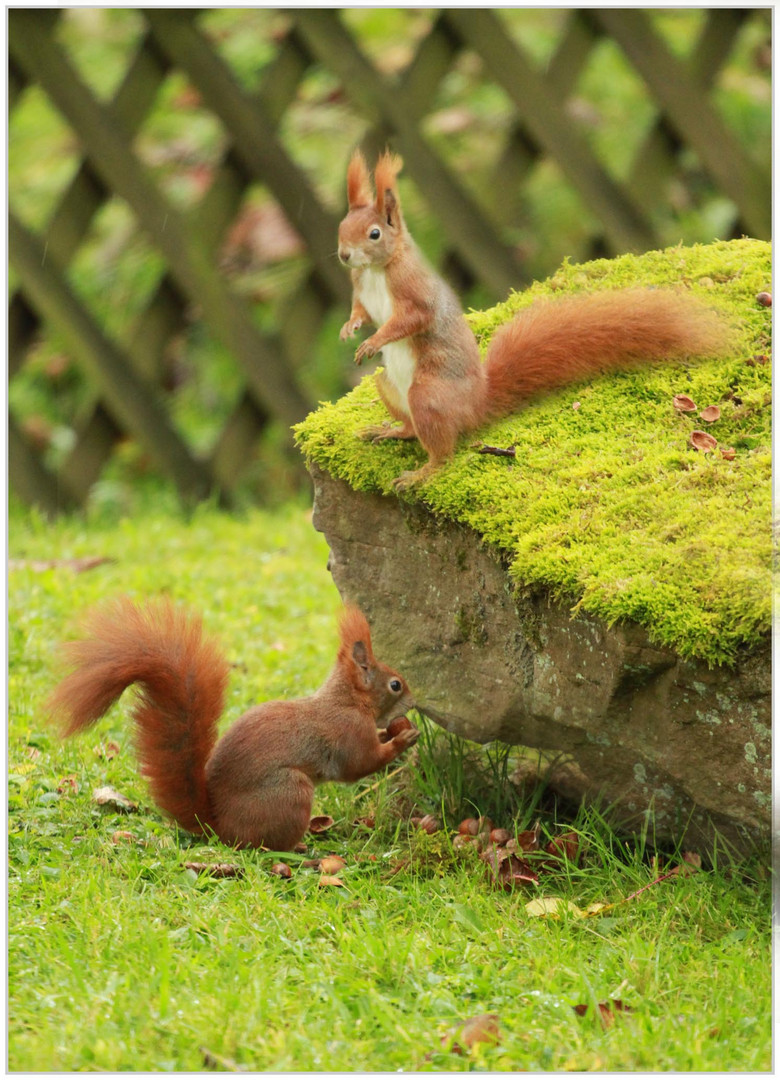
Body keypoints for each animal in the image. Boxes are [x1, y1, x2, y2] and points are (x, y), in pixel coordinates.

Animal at [48, 600, 417, 851]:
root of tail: (218, 826)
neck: (348, 700)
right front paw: (404, 739)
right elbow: (360, 764)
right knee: (262, 845)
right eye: (396, 685)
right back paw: (296, 849)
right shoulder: (348, 733)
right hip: (290, 791)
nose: (415, 702)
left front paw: (391, 731)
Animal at [337, 150, 725, 488]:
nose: (343, 255)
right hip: (387, 385)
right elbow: (361, 311)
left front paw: (373, 341)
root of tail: (475, 404)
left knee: (443, 452)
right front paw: (350, 328)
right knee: (411, 428)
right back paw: (389, 430)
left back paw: (422, 473)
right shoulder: (359, 290)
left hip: (427, 395)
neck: (376, 270)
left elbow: (411, 319)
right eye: (341, 226)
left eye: (374, 234)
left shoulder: (414, 292)